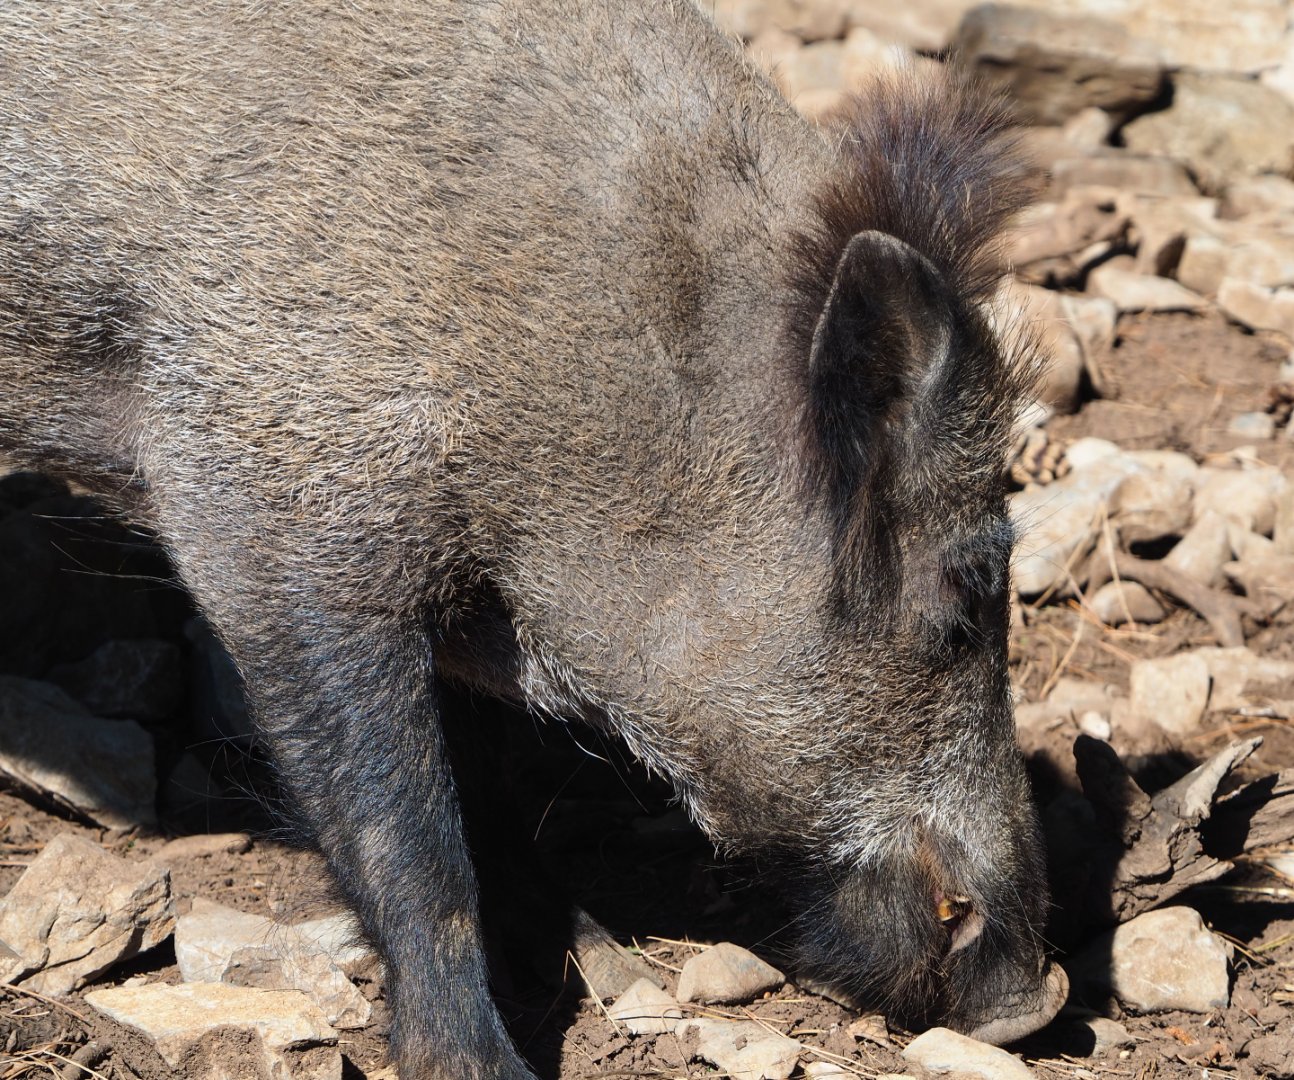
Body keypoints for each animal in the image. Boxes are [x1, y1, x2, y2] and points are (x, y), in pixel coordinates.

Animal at [0, 1, 1067, 1076]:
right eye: (963, 593)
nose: (1034, 1005)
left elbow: (485, 788)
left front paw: (594, 948)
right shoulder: (273, 507)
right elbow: (409, 831)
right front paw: (479, 1063)